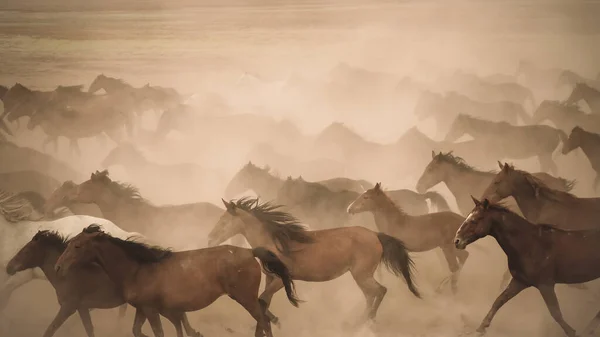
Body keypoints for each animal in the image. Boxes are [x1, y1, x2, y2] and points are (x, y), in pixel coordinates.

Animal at [54, 223, 300, 336]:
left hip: (244, 298)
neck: (138, 269)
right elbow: (137, 330)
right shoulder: (143, 308)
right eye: (70, 242)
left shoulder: (152, 309)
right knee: (264, 318)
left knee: (263, 320)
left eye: (77, 245)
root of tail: (250, 252)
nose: (58, 267)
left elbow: (159, 332)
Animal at [209, 197, 420, 328]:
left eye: (224, 221)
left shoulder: (280, 280)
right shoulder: (270, 279)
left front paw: (276, 322)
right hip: (362, 275)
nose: (211, 237)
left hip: (361, 274)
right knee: (372, 294)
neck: (275, 243)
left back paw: (361, 322)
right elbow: (264, 302)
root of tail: (375, 235)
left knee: (379, 291)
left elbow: (262, 300)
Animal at [454, 197, 600, 336]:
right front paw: (481, 328)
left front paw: (572, 332)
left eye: (474, 220)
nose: (457, 241)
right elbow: (499, 300)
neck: (530, 244)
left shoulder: (545, 285)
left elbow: (555, 312)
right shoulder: (520, 281)